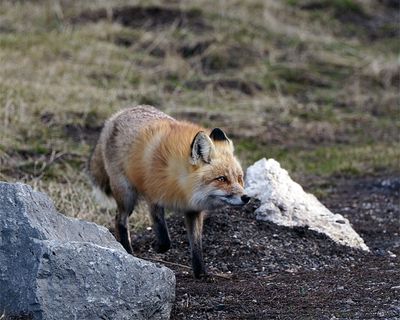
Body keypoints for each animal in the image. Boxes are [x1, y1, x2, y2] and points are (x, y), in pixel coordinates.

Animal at [89, 105, 248, 278]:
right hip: (127, 195)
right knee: (120, 220)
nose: (246, 197)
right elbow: (164, 236)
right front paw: (157, 247)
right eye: (222, 179)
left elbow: (196, 245)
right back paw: (128, 252)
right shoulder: (153, 198)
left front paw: (201, 273)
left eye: (239, 178)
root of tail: (117, 115)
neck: (182, 186)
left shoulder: (193, 210)